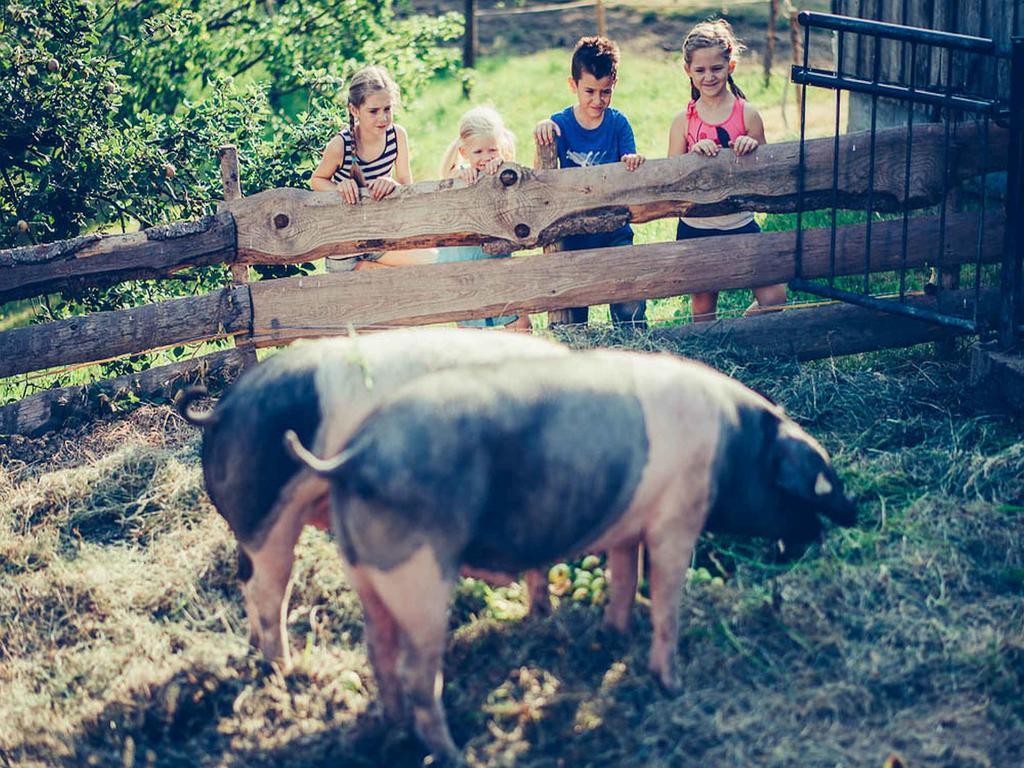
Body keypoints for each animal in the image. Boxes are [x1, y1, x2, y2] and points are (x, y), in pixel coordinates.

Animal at [172, 327, 565, 671]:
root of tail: (222, 412)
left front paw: (541, 615)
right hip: (265, 518)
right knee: (266, 589)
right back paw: (286, 669)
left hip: (248, 525)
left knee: (245, 578)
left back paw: (256, 651)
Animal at [284, 348, 860, 765]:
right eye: (813, 484)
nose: (850, 514)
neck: (734, 446)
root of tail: (355, 455)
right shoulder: (676, 519)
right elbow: (667, 602)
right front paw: (671, 685)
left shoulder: (628, 530)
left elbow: (624, 578)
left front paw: (614, 636)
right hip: (419, 574)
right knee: (416, 672)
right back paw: (453, 754)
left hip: (368, 574)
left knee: (378, 653)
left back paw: (396, 731)